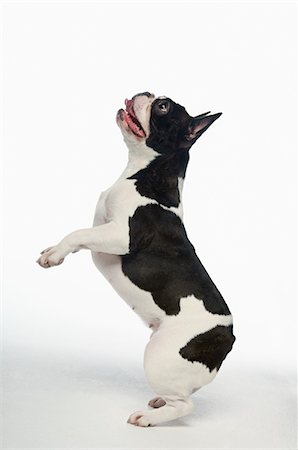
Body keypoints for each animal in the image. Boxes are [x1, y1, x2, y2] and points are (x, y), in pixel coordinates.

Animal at [37, 91, 236, 426]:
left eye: (163, 107)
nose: (147, 93)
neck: (145, 173)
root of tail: (228, 337)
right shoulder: (102, 219)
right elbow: (83, 231)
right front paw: (56, 248)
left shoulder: (120, 235)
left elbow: (78, 233)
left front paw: (55, 254)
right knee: (185, 391)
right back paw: (159, 403)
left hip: (159, 355)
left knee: (185, 405)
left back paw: (149, 418)